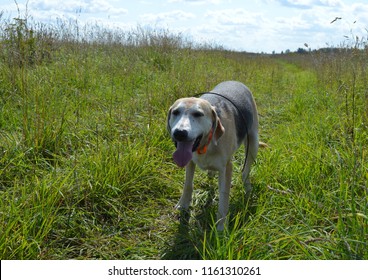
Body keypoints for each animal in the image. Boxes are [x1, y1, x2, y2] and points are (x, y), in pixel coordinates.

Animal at [167, 80, 262, 230]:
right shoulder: (190, 162)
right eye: (175, 112)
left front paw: (221, 227)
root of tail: (235, 81)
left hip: (253, 143)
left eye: (198, 114)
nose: (179, 133)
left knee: (245, 172)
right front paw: (183, 205)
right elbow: (188, 185)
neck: (207, 144)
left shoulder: (227, 168)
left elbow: (223, 198)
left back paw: (247, 187)